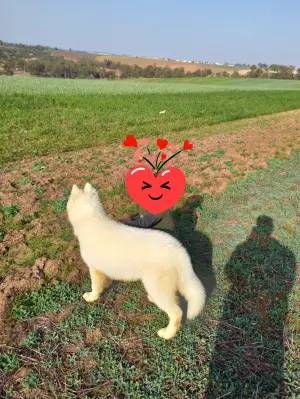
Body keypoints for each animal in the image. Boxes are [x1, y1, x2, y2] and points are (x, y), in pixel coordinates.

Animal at [66, 184, 205, 340]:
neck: (90, 221)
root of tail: (180, 252)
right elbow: (105, 281)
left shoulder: (94, 268)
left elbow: (95, 286)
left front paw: (91, 297)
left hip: (157, 286)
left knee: (176, 312)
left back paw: (167, 334)